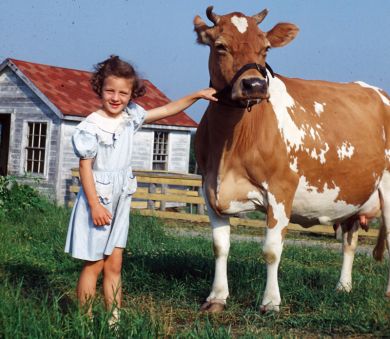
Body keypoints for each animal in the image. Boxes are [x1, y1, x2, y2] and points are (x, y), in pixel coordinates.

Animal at [193, 5, 390, 314]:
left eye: (265, 48)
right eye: (220, 46)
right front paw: (216, 298)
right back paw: (343, 287)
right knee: (349, 240)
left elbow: (272, 251)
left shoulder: (280, 190)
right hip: (352, 194)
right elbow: (220, 246)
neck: (231, 145)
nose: (254, 84)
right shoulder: (210, 187)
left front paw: (270, 302)